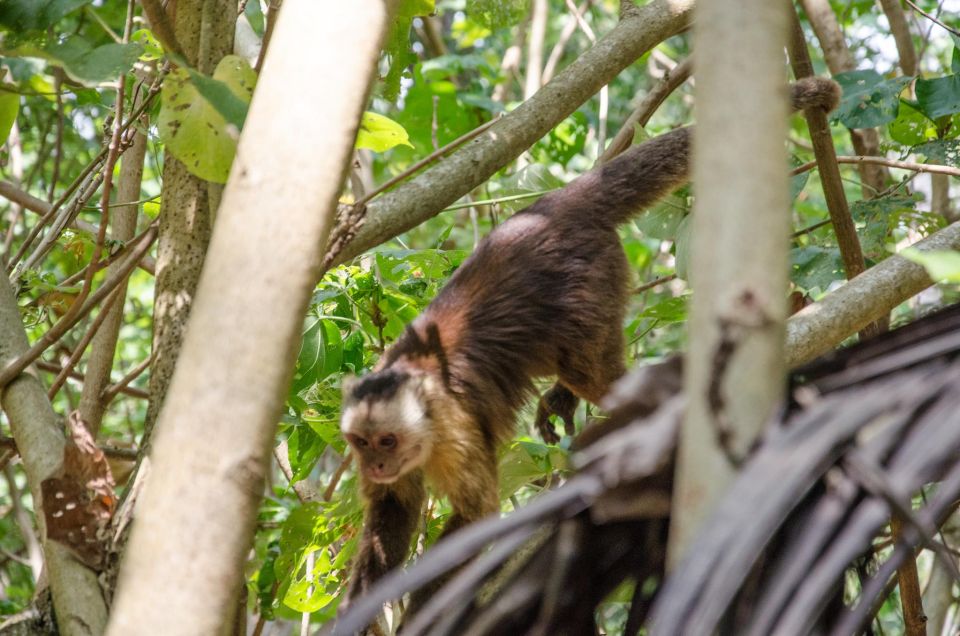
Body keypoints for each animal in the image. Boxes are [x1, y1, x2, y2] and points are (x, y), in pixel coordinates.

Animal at [338, 77, 840, 620]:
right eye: (362, 443)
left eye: (387, 441)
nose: (376, 464)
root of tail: (559, 203)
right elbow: (393, 512)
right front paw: (361, 612)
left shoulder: (454, 428)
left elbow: (477, 517)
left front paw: (423, 617)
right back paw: (563, 399)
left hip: (590, 279)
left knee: (596, 375)